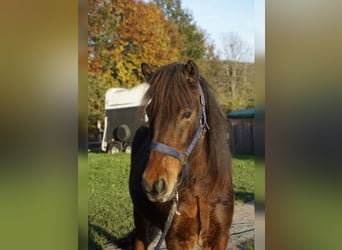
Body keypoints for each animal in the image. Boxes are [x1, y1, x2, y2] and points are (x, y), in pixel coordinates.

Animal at [130, 59, 234, 249]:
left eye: (186, 114)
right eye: (149, 112)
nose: (154, 184)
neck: (201, 189)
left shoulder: (219, 237)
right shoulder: (177, 239)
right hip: (139, 216)